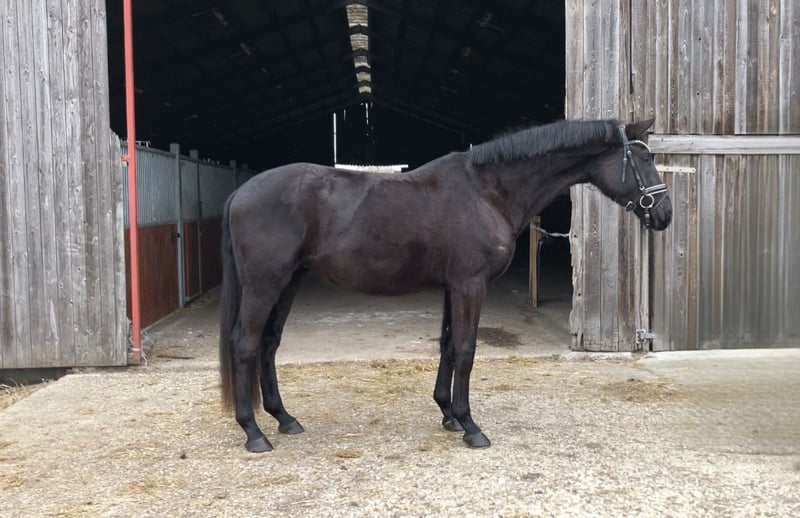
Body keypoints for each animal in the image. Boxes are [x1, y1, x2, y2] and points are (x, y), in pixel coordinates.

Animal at [219, 118, 672, 452]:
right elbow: (467, 350)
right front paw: (471, 426)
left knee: (269, 343)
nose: (664, 214)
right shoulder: (471, 285)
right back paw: (253, 433)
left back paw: (284, 418)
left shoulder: (453, 287)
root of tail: (240, 193)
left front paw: (448, 414)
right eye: (642, 158)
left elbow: (448, 346)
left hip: (288, 282)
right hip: (265, 284)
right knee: (245, 344)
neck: (486, 191)